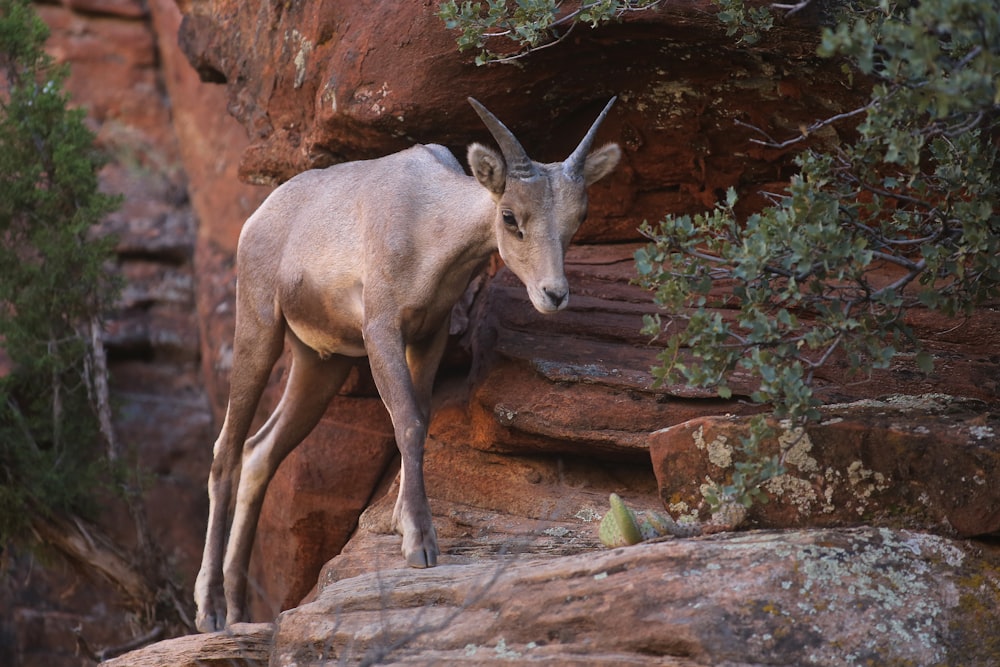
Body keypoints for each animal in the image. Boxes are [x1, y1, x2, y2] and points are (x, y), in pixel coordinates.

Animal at [193, 95, 616, 632]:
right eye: (510, 216)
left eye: (577, 219)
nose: (554, 295)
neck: (425, 223)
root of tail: (259, 219)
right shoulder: (382, 332)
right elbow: (409, 423)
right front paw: (420, 545)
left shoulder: (428, 338)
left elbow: (420, 419)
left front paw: (400, 524)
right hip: (258, 331)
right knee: (226, 451)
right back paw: (210, 611)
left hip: (320, 366)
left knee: (260, 452)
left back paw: (240, 610)